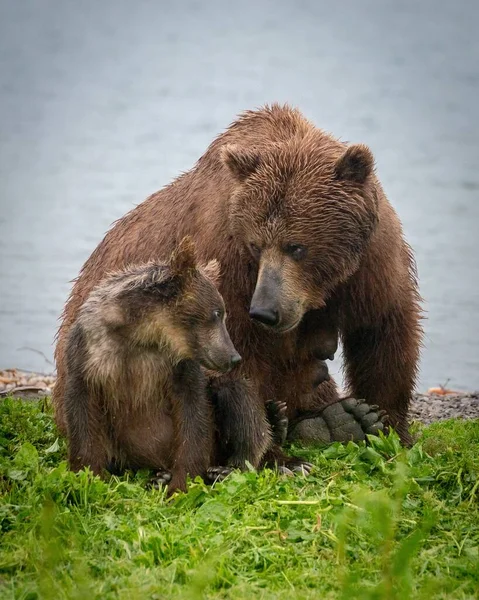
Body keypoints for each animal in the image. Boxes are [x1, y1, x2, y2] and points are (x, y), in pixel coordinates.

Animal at [54, 104, 422, 468]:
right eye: (256, 245)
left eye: (296, 246)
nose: (265, 311)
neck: (321, 287)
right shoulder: (224, 262)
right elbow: (239, 360)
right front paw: (277, 456)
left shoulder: (371, 265)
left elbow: (383, 333)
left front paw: (387, 426)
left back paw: (340, 419)